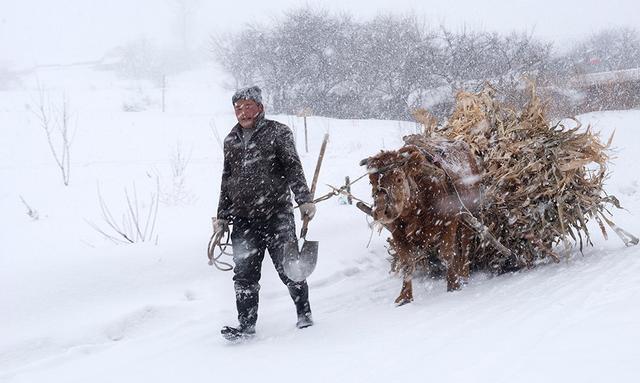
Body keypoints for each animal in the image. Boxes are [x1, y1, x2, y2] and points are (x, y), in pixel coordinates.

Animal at [360, 135, 480, 306]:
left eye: (398, 179)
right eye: (371, 181)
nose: (381, 212)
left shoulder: (449, 222)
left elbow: (447, 254)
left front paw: (453, 285)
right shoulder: (398, 234)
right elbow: (407, 263)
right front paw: (404, 296)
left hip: (470, 214)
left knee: (465, 243)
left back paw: (463, 274)